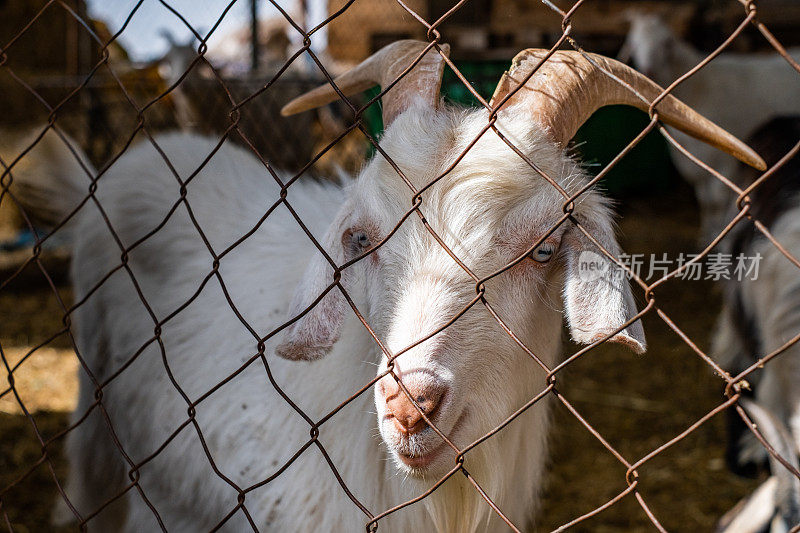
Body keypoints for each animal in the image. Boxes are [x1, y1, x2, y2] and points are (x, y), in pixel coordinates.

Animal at [620, 11, 800, 241]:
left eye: (666, 44)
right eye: (634, 43)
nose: (649, 70)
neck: (696, 88)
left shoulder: (724, 163)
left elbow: (715, 204)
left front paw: (716, 234)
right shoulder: (698, 162)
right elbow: (704, 202)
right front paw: (706, 235)